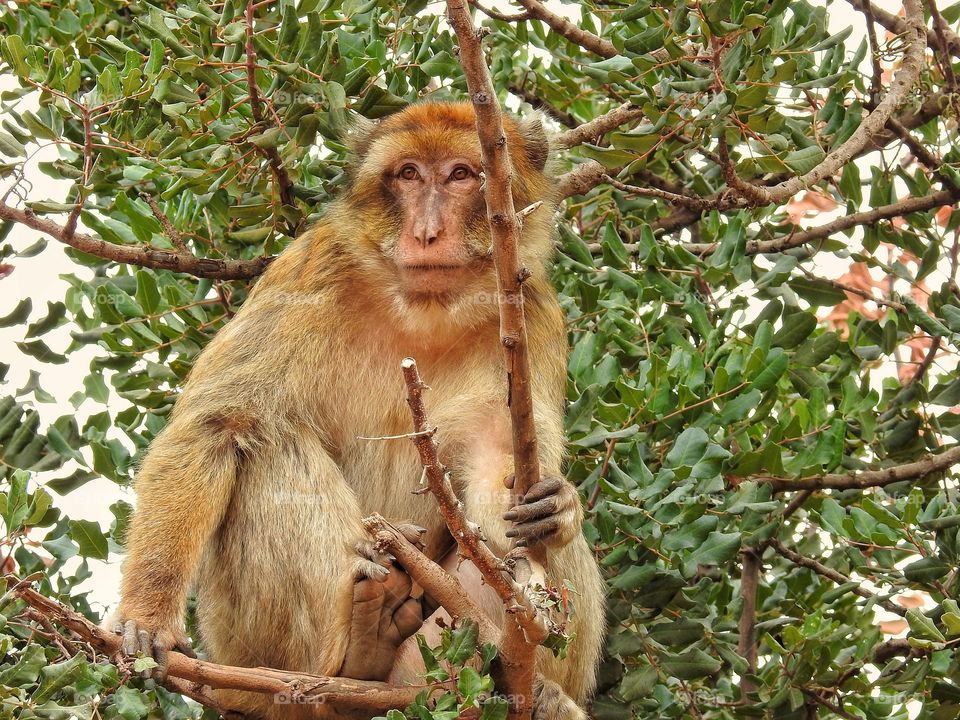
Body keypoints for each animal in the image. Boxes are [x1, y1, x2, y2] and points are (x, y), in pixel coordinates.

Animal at [109, 101, 606, 719]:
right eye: (409, 174)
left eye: (462, 175)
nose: (426, 232)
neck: (422, 309)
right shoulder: (308, 272)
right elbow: (219, 424)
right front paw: (148, 613)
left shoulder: (531, 315)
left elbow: (499, 463)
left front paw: (556, 509)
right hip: (245, 653)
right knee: (269, 442)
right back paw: (359, 650)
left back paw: (535, 687)